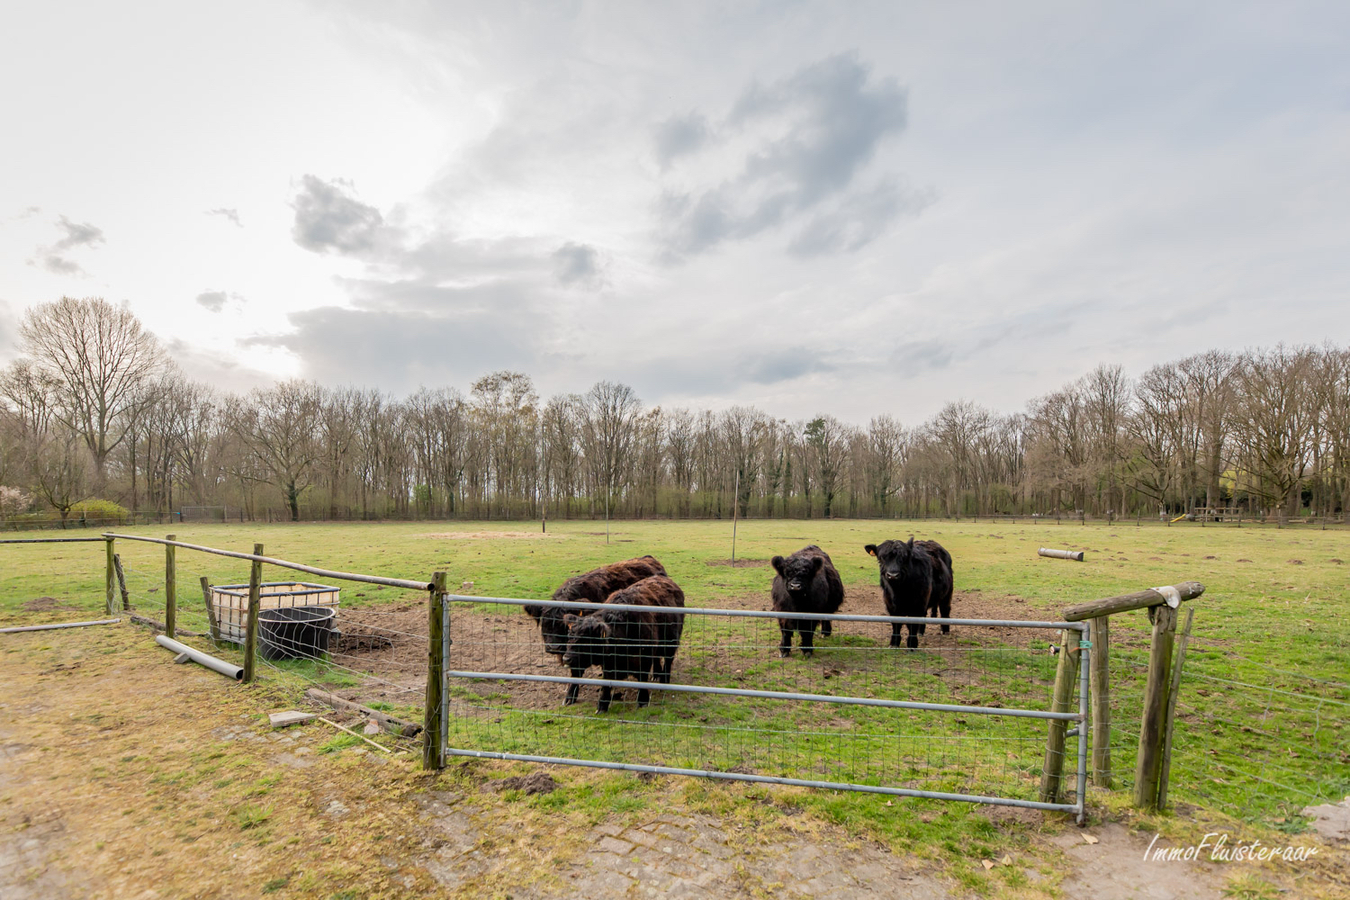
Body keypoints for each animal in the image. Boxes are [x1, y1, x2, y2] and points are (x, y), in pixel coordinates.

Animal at [558, 574, 685, 712]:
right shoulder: (608, 664)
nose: (566, 659)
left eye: (586, 640)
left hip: (671, 642)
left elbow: (642, 678)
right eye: (569, 636)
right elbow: (606, 683)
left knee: (668, 660)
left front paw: (643, 701)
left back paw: (664, 681)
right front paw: (602, 705)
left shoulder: (643, 658)